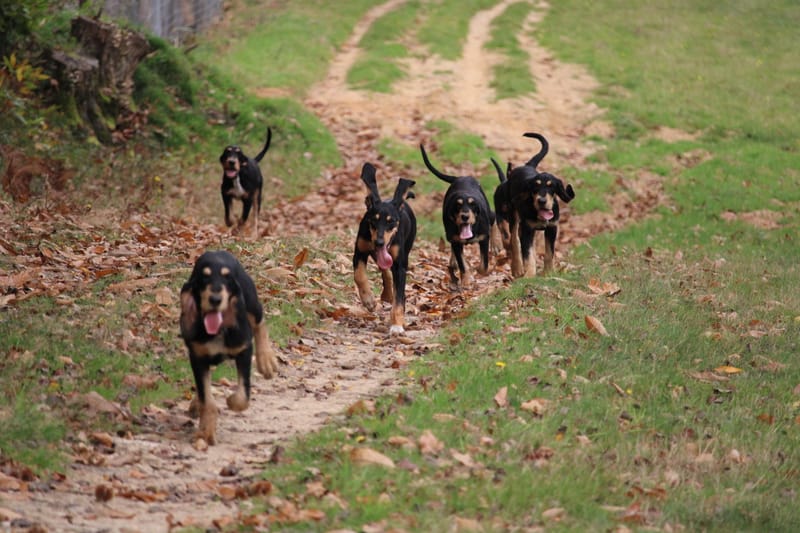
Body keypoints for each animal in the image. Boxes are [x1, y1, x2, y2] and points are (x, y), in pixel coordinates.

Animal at [180, 251, 280, 442]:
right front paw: (206, 430)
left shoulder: (244, 350)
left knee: (260, 323)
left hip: (251, 302)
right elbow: (206, 398)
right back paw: (196, 404)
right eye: (204, 277)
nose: (215, 299)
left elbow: (243, 394)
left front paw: (232, 401)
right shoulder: (198, 358)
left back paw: (266, 361)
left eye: (227, 278)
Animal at [354, 162, 418, 334]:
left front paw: (396, 325)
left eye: (391, 221)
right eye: (373, 220)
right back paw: (387, 293)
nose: (379, 242)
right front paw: (368, 300)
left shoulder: (400, 265)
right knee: (385, 271)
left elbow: (399, 298)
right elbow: (359, 275)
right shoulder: (359, 251)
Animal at [418, 143, 494, 288]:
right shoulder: (456, 240)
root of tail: (460, 177)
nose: (465, 216)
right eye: (457, 206)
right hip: (451, 234)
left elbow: (484, 265)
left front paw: (476, 271)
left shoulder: (484, 237)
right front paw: (466, 279)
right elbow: (462, 263)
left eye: (473, 205)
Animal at [506, 132, 576, 276]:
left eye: (551, 186)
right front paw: (529, 275)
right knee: (514, 240)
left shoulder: (552, 228)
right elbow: (528, 255)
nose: (542, 201)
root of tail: (527, 165)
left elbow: (549, 252)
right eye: (535, 187)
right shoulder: (527, 229)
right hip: (514, 217)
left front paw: (549, 273)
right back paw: (517, 268)